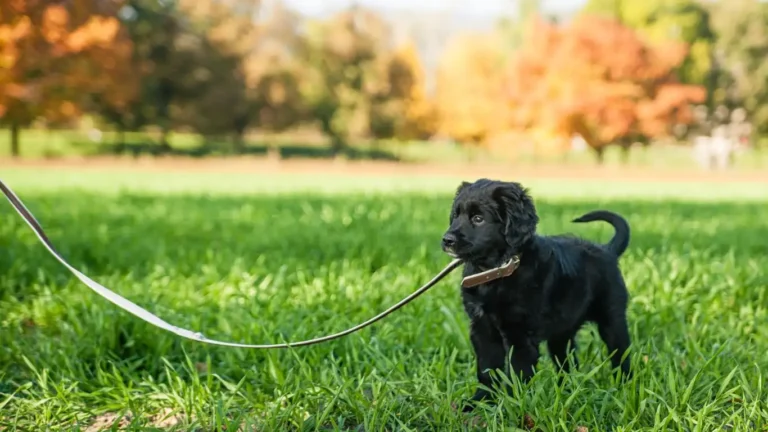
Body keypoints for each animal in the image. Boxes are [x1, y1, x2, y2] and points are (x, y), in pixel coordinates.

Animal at [440, 180, 632, 412]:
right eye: (455, 215)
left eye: (478, 219)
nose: (447, 240)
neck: (497, 270)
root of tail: (608, 250)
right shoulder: (482, 329)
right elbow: (487, 369)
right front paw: (480, 402)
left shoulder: (520, 336)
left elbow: (517, 374)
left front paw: (512, 406)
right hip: (562, 333)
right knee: (567, 363)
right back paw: (567, 391)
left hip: (612, 320)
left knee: (621, 356)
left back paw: (624, 387)